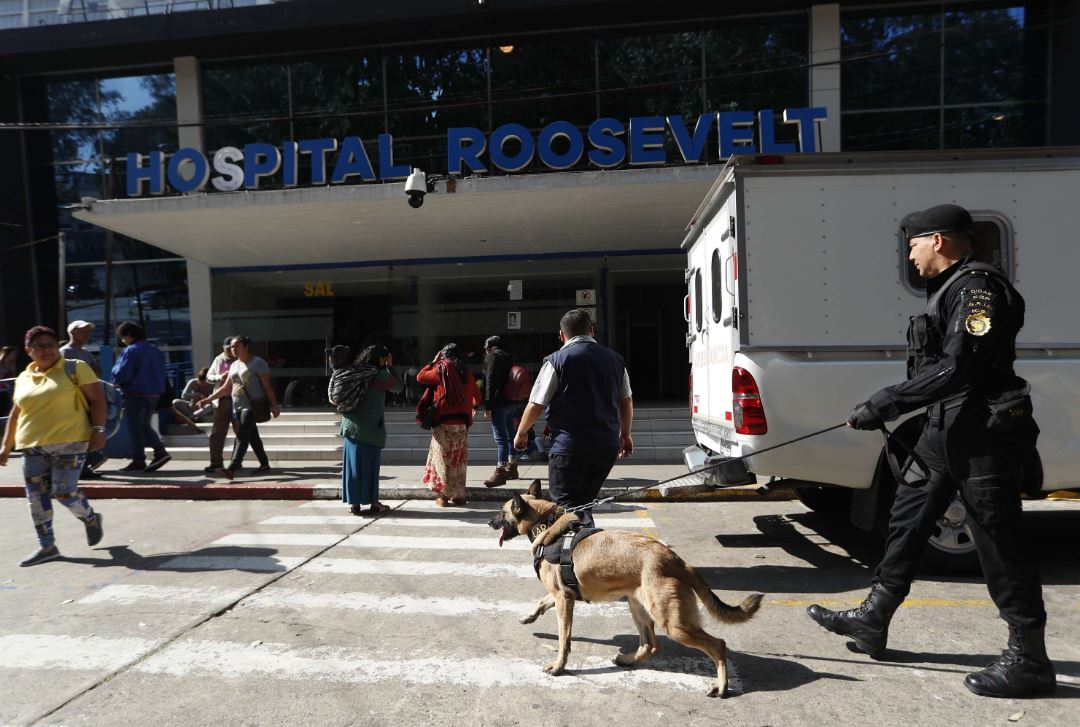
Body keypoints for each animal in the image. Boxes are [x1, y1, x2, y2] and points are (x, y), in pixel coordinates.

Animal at [490, 481, 760, 695]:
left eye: (501, 512)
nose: (491, 522)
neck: (546, 523)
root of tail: (679, 561)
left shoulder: (564, 599)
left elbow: (564, 639)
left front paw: (559, 666)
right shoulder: (561, 595)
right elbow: (541, 602)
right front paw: (529, 617)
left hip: (673, 624)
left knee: (717, 645)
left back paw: (722, 686)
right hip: (638, 607)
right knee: (650, 644)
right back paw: (628, 660)